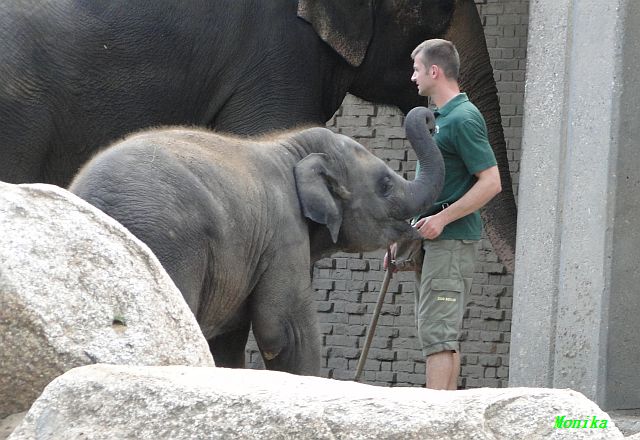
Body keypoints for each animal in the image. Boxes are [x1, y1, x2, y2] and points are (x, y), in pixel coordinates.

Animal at [69, 107, 444, 375]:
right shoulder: (283, 232)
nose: (431, 117)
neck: (291, 147)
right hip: (169, 246)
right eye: (385, 184)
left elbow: (228, 339)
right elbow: (284, 329)